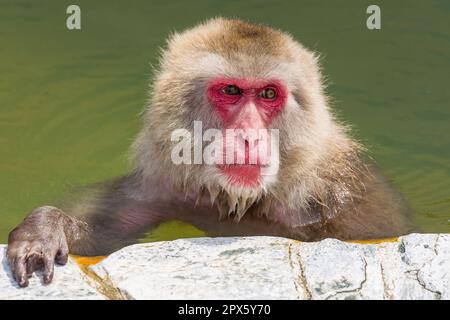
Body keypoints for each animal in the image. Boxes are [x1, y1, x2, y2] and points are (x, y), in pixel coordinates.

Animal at [7, 18, 414, 288]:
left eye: (268, 94)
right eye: (231, 90)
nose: (249, 137)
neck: (245, 201)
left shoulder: (346, 202)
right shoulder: (162, 186)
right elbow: (105, 234)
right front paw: (47, 227)